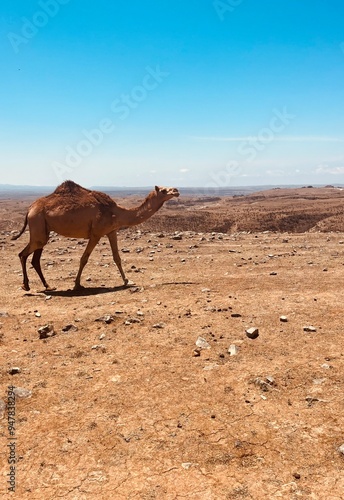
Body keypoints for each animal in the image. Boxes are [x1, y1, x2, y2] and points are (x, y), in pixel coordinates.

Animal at [11, 181, 180, 292]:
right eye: (163, 190)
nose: (176, 190)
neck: (116, 212)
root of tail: (30, 209)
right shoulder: (96, 234)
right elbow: (84, 258)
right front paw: (77, 284)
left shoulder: (111, 231)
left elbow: (117, 257)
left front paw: (127, 280)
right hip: (38, 223)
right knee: (23, 254)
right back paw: (26, 286)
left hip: (42, 230)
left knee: (35, 258)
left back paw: (47, 286)